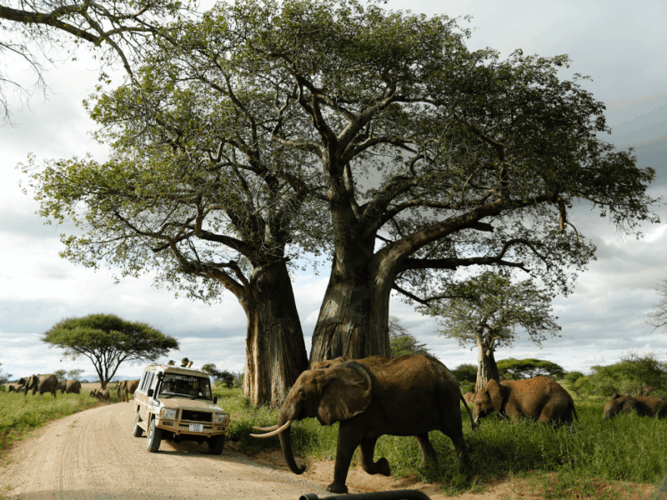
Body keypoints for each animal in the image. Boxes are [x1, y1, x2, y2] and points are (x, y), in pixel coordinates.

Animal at [252, 354, 472, 494]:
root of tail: (452, 375)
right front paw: (386, 468)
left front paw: (332, 490)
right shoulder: (363, 408)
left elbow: (347, 440)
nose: (303, 466)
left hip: (446, 397)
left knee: (455, 434)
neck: (331, 373)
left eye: (302, 395)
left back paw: (463, 476)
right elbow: (365, 446)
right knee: (422, 435)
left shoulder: (362, 406)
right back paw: (426, 473)